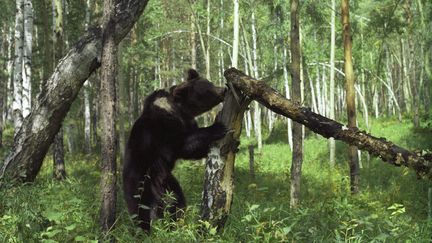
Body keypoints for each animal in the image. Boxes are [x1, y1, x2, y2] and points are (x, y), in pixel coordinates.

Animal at [122, 68, 226, 232]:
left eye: (209, 82)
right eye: (207, 89)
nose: (223, 89)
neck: (180, 111)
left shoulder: (187, 122)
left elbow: (192, 150)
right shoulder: (162, 130)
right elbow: (182, 145)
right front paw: (217, 127)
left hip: (167, 182)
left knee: (177, 202)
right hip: (142, 184)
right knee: (143, 212)